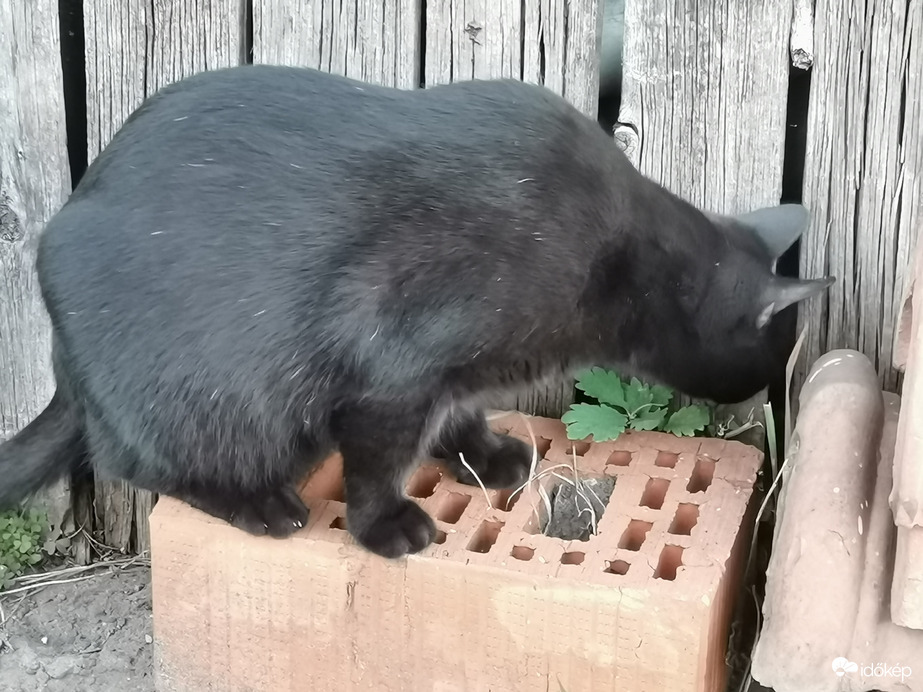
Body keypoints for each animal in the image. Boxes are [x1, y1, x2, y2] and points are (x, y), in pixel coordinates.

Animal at [0, 65, 832, 556]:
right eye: (767, 355)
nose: (755, 400)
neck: (618, 255)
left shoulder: (451, 378)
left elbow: (458, 416)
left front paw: (484, 457)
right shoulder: (389, 374)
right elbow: (376, 467)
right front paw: (386, 527)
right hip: (210, 404)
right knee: (135, 459)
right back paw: (258, 503)